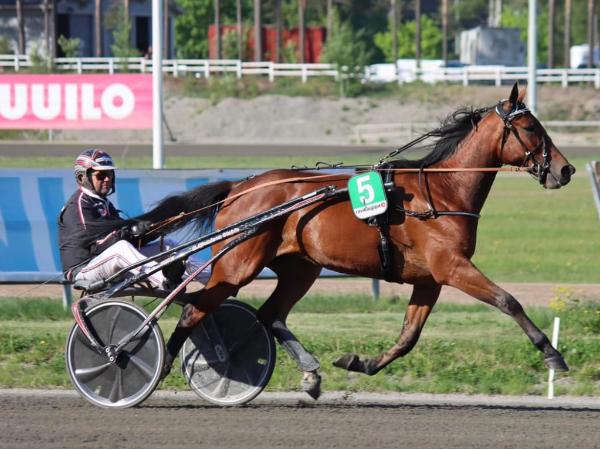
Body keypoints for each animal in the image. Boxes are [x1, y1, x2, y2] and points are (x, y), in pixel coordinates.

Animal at [127, 83, 575, 397]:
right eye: (531, 127)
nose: (566, 170)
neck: (442, 193)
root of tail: (241, 187)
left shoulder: (429, 279)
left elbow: (408, 338)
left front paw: (361, 363)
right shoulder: (452, 267)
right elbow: (508, 301)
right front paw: (553, 354)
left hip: (300, 268)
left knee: (270, 314)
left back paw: (311, 374)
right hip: (237, 265)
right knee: (194, 310)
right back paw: (145, 362)